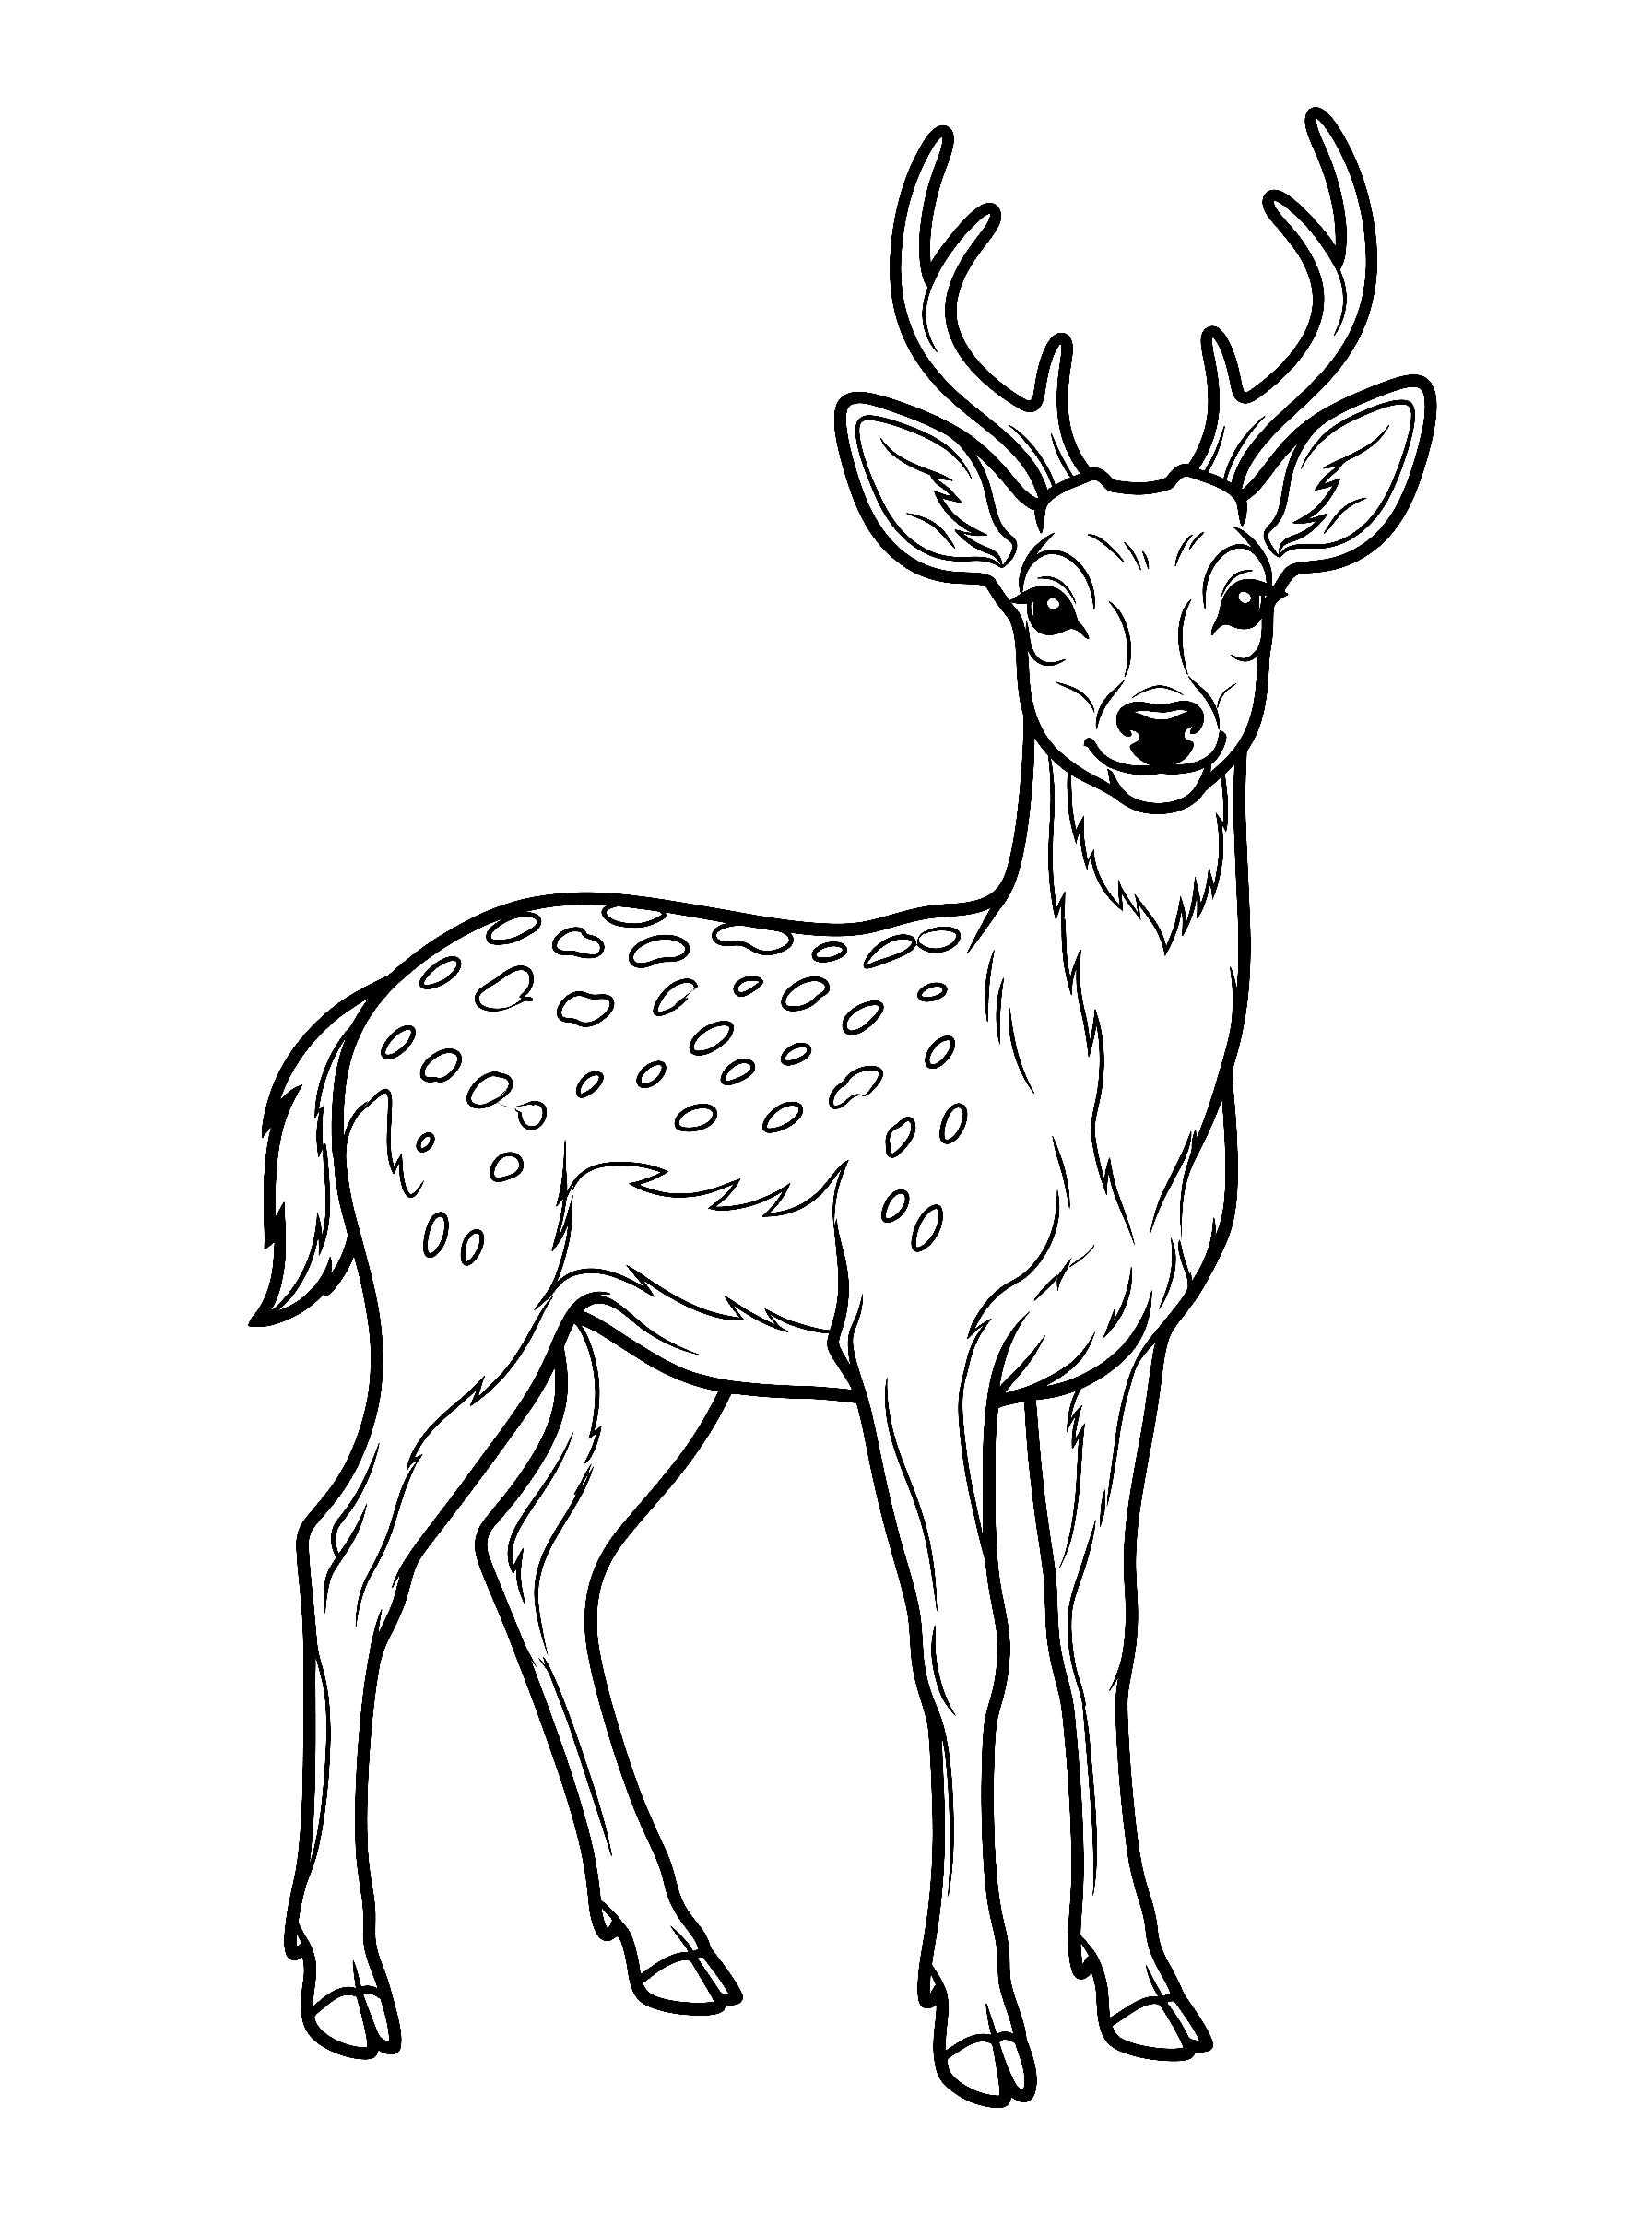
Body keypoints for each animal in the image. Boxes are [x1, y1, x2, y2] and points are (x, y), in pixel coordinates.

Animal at [256, 110, 1434, 2106]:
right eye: (1042, 597)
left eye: (1246, 589)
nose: (1158, 723)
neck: (1095, 1123)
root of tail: (350, 1029)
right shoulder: (911, 1317)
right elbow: (962, 1635)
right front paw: (977, 2018)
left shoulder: (1122, 1345)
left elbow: (1095, 1632)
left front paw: (1143, 1990)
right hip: (451, 1280)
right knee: (344, 1545)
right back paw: (345, 1980)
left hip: (635, 1350)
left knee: (533, 1551)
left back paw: (670, 1945)